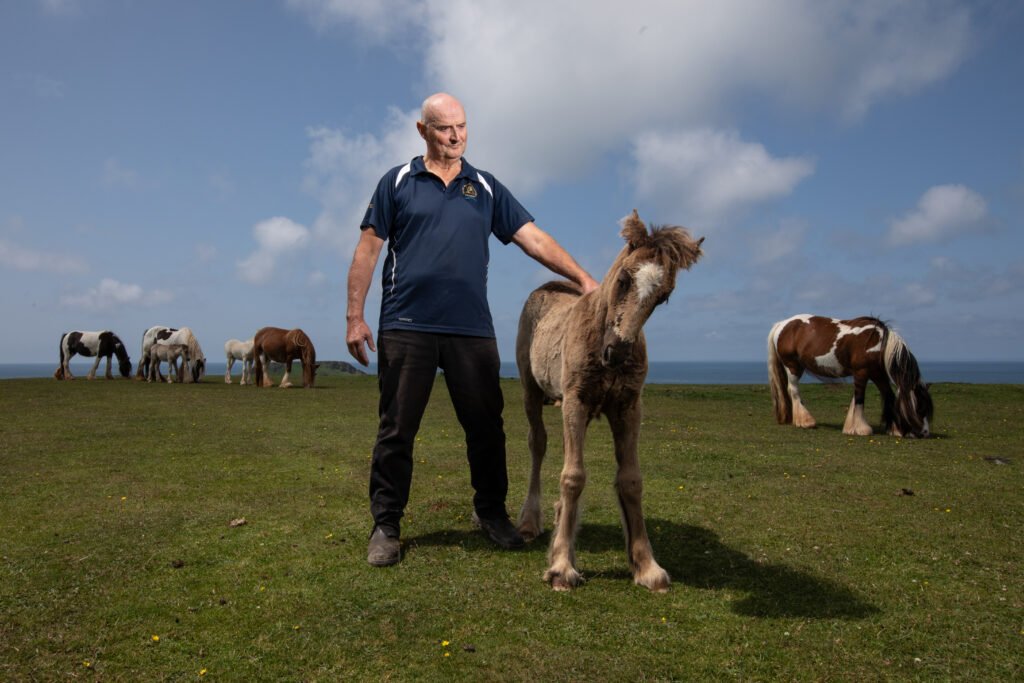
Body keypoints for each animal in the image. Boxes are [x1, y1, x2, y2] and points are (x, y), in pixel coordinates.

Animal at [516, 210, 704, 592]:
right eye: (623, 279)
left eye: (664, 296)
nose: (616, 352)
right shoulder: (575, 401)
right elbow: (573, 476)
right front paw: (561, 567)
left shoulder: (628, 407)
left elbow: (630, 480)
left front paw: (646, 566)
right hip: (532, 390)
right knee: (538, 444)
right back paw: (530, 522)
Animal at [767, 314, 933, 438]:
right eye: (920, 407)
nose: (925, 433)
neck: (880, 343)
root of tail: (782, 324)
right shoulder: (861, 372)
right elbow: (859, 398)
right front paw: (860, 429)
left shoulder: (878, 374)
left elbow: (889, 396)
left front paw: (895, 429)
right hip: (792, 366)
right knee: (793, 390)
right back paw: (806, 421)